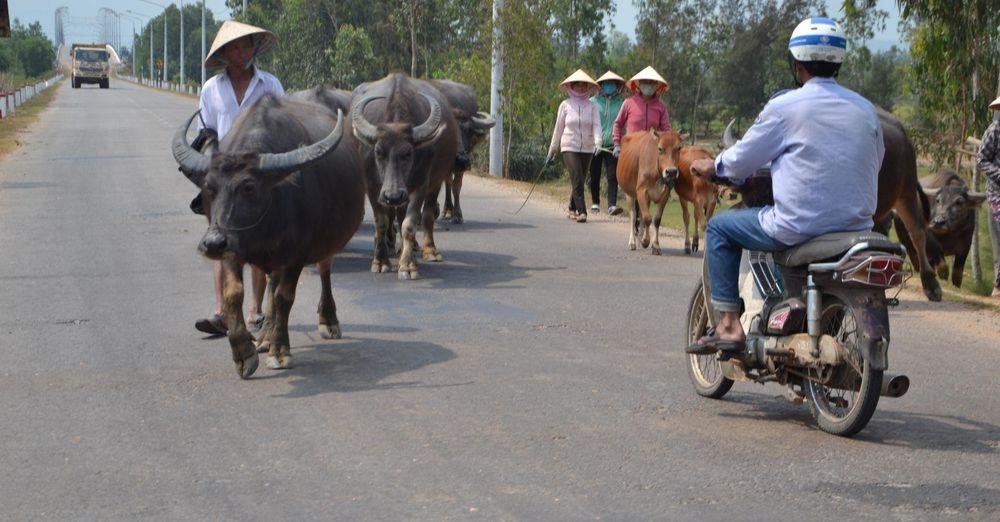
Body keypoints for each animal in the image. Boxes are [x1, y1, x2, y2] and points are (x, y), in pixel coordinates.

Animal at [174, 95, 366, 376]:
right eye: (209, 187)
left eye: (249, 187)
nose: (212, 243)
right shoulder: (232, 249)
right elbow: (234, 293)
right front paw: (244, 352)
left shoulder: (297, 256)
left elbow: (284, 297)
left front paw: (280, 350)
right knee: (271, 285)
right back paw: (264, 336)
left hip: (325, 244)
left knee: (323, 271)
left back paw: (327, 321)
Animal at [350, 72, 458, 280]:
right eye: (378, 152)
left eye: (408, 153)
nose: (393, 195)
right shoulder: (373, 186)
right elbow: (381, 222)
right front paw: (380, 261)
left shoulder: (420, 185)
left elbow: (409, 225)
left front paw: (407, 265)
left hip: (433, 183)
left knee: (426, 214)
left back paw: (427, 251)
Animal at [426, 78, 496, 222]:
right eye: (448, 131)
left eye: (469, 130)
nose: (461, 160)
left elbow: (456, 186)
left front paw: (457, 214)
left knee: (448, 181)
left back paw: (448, 210)